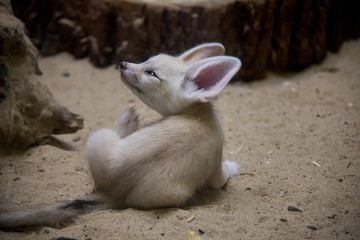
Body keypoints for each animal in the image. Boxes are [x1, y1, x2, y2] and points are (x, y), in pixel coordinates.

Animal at [0, 42, 242, 229]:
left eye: (151, 73)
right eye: (147, 60)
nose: (123, 63)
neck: (200, 112)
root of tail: (112, 193)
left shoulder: (216, 169)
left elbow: (222, 177)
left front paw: (233, 167)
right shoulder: (215, 167)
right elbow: (223, 176)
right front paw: (235, 166)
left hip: (100, 138)